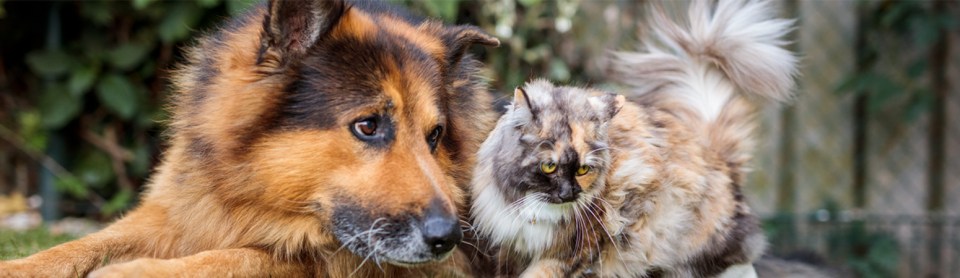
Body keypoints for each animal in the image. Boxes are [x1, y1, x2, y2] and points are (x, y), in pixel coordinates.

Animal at [5, 0, 502, 276]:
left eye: (435, 135)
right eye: (367, 126)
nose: (449, 238)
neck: (252, 192)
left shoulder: (325, 261)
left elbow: (233, 258)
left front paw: (131, 273)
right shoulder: (179, 212)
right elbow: (79, 245)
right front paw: (16, 267)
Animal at [470, 1, 796, 276]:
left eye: (583, 170)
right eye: (549, 167)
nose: (569, 194)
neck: (534, 210)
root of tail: (714, 153)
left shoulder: (570, 253)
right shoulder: (513, 248)